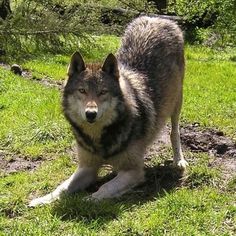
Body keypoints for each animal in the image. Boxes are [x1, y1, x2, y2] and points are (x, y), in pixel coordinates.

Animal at [29, 15, 188, 206]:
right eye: (82, 91)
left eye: (102, 92)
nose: (91, 114)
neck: (99, 139)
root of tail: (156, 17)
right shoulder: (87, 167)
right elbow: (63, 187)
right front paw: (42, 200)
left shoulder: (133, 172)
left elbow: (104, 188)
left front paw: (86, 201)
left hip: (177, 103)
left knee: (174, 131)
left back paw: (179, 160)